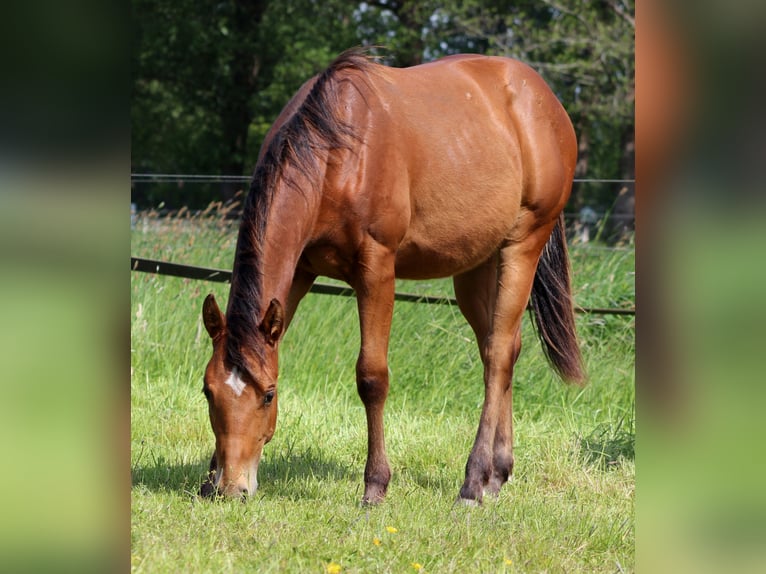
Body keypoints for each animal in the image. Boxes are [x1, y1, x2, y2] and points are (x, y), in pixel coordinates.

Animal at [199, 48, 584, 505]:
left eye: (268, 395)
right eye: (208, 391)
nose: (232, 488)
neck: (337, 153)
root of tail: (546, 103)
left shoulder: (377, 270)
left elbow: (372, 377)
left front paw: (375, 485)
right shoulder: (299, 273)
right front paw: (209, 475)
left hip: (522, 245)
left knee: (498, 355)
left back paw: (473, 482)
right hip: (478, 266)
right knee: (502, 349)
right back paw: (497, 473)